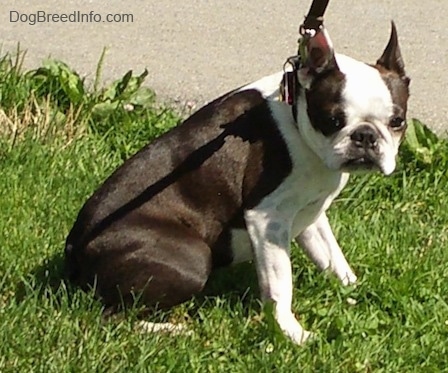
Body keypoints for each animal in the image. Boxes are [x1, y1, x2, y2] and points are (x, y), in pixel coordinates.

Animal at [64, 22, 410, 342]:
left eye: (398, 121)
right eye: (333, 120)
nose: (365, 136)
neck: (297, 121)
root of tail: (74, 249)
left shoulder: (310, 212)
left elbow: (331, 255)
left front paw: (352, 288)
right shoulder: (267, 218)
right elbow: (280, 283)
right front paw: (292, 333)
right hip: (193, 258)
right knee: (113, 316)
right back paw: (172, 330)